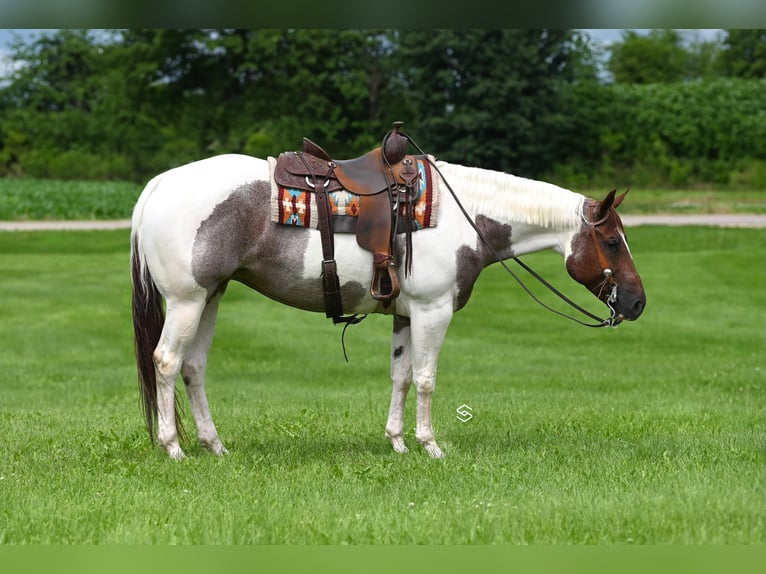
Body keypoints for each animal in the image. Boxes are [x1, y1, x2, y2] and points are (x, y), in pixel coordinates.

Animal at [131, 152, 646, 459]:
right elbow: (426, 378)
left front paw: (397, 442)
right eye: (611, 241)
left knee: (193, 367)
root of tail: (158, 184)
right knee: (167, 362)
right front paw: (430, 445)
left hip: (210, 297)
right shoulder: (433, 311)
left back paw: (214, 445)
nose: (638, 302)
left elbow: (400, 376)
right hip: (187, 301)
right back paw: (173, 447)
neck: (464, 216)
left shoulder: (405, 314)